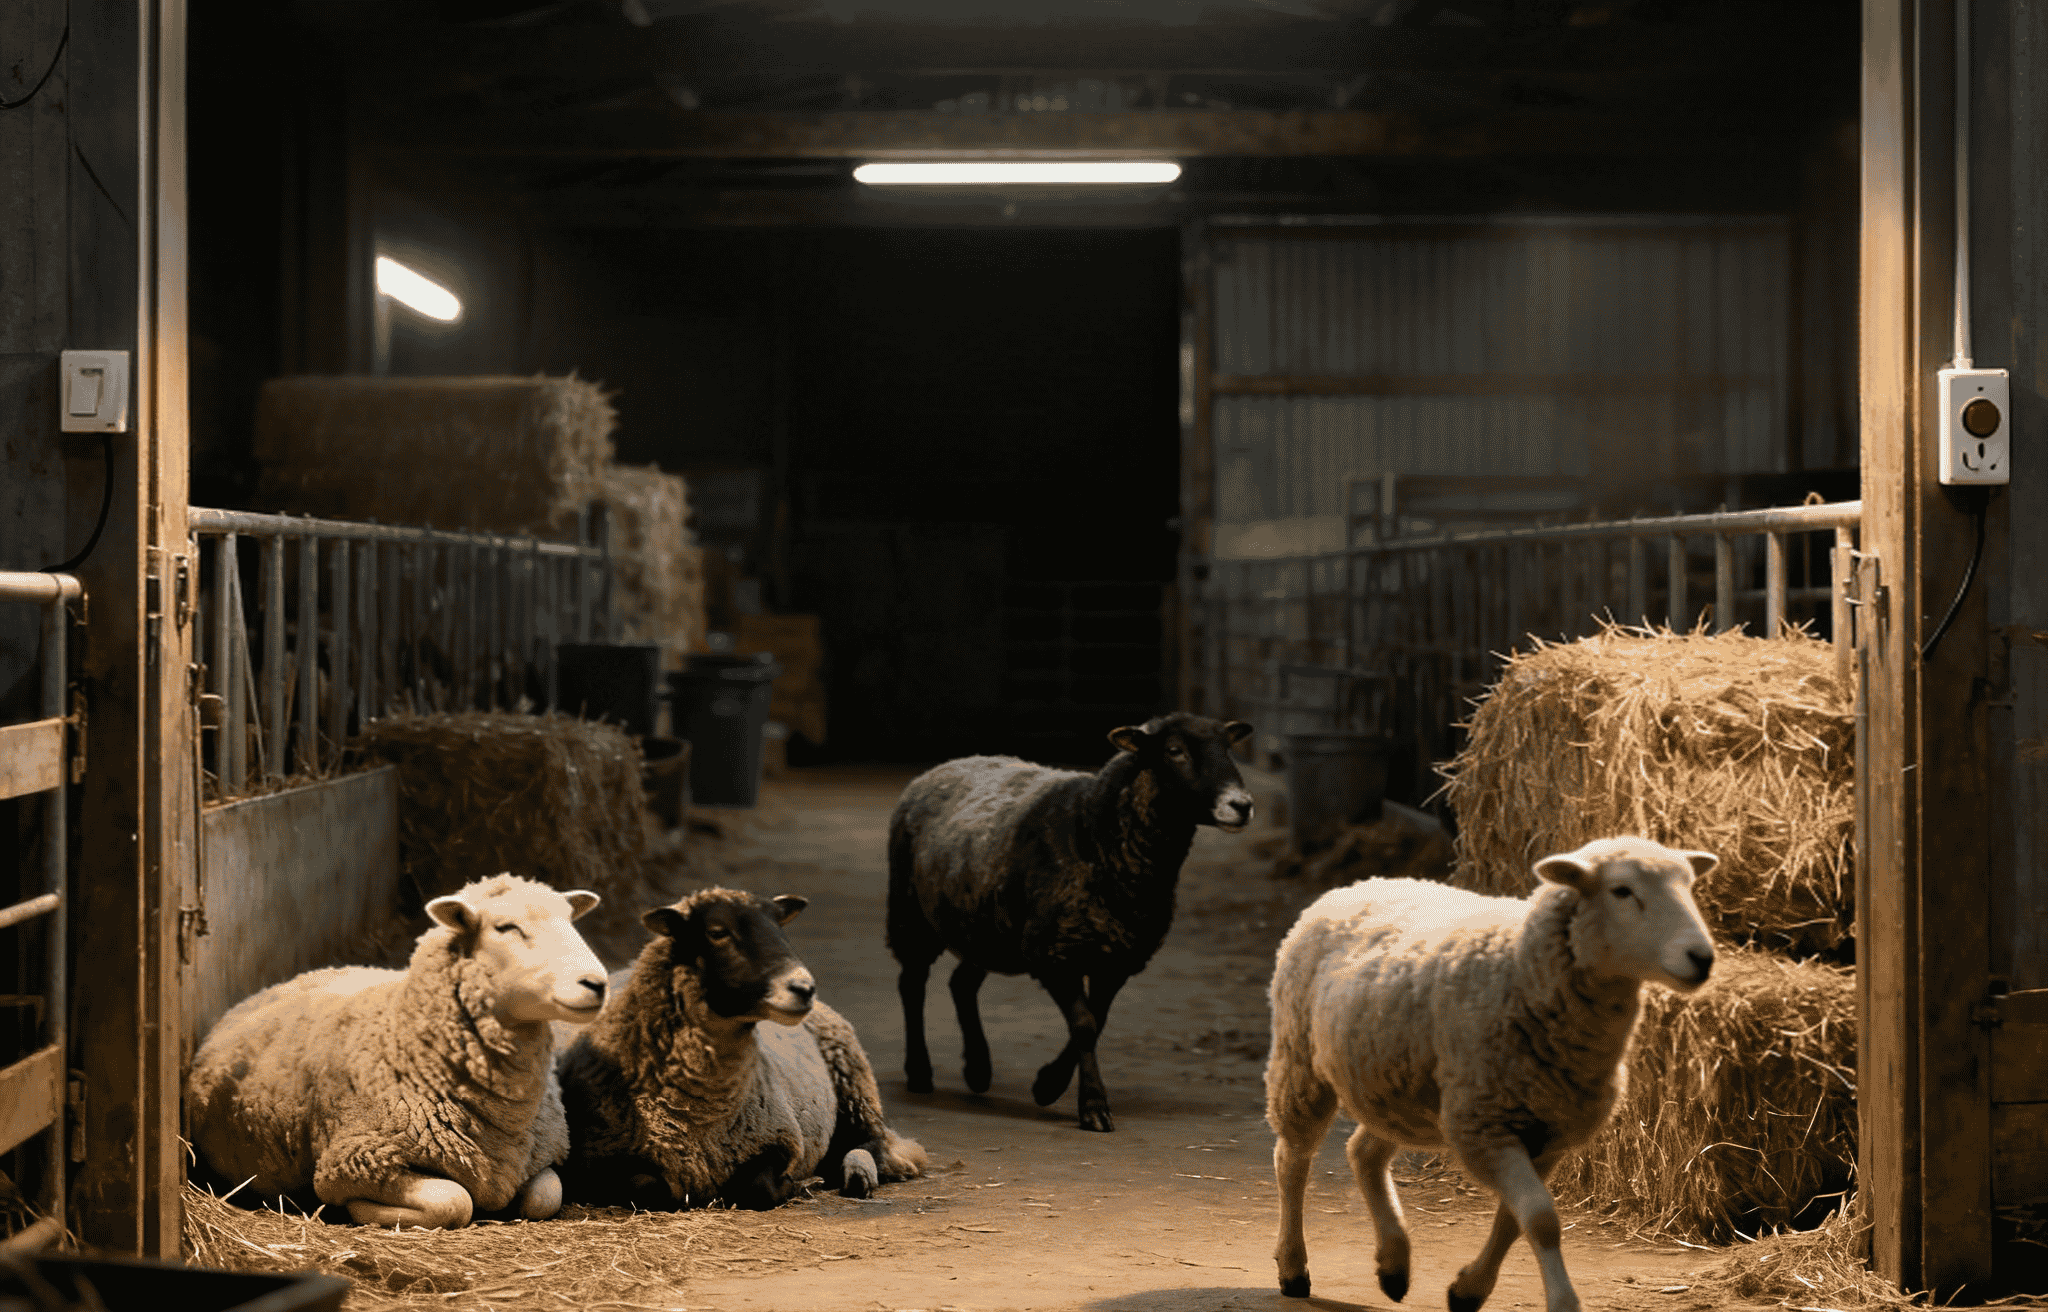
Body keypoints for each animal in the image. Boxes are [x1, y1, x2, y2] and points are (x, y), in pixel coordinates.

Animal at [185, 873, 608, 1228]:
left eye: (571, 920)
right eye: (506, 927)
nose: (597, 983)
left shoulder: (541, 1156)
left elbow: (545, 1198)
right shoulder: (357, 1160)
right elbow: (454, 1202)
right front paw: (361, 1211)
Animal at [555, 887, 927, 1210]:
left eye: (780, 928)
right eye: (718, 932)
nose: (804, 988)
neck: (698, 1115)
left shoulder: (780, 1140)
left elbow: (759, 1187)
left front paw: (803, 1183)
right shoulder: (597, 1162)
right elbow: (646, 1186)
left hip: (853, 1084)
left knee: (872, 1143)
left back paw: (857, 1174)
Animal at [887, 711, 1255, 1132]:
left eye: (1227, 746)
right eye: (1174, 750)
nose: (1241, 805)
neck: (1095, 832)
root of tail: (947, 765)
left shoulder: (1117, 957)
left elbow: (1097, 1019)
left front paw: (1048, 1084)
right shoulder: (1054, 952)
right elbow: (1084, 1024)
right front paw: (1091, 1104)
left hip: (986, 927)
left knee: (961, 984)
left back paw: (978, 1070)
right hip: (910, 912)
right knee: (912, 984)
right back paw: (919, 1072)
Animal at [1265, 835, 1718, 1312]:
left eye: (1690, 884)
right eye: (1622, 891)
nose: (1702, 958)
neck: (1519, 971)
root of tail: (1359, 883)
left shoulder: (1549, 1136)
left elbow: (1513, 1221)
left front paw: (1468, 1289)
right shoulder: (1486, 1126)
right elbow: (1539, 1218)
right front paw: (1561, 1300)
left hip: (1400, 1089)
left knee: (1363, 1154)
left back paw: (1393, 1264)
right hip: (1301, 1063)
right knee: (1292, 1161)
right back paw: (1293, 1266)